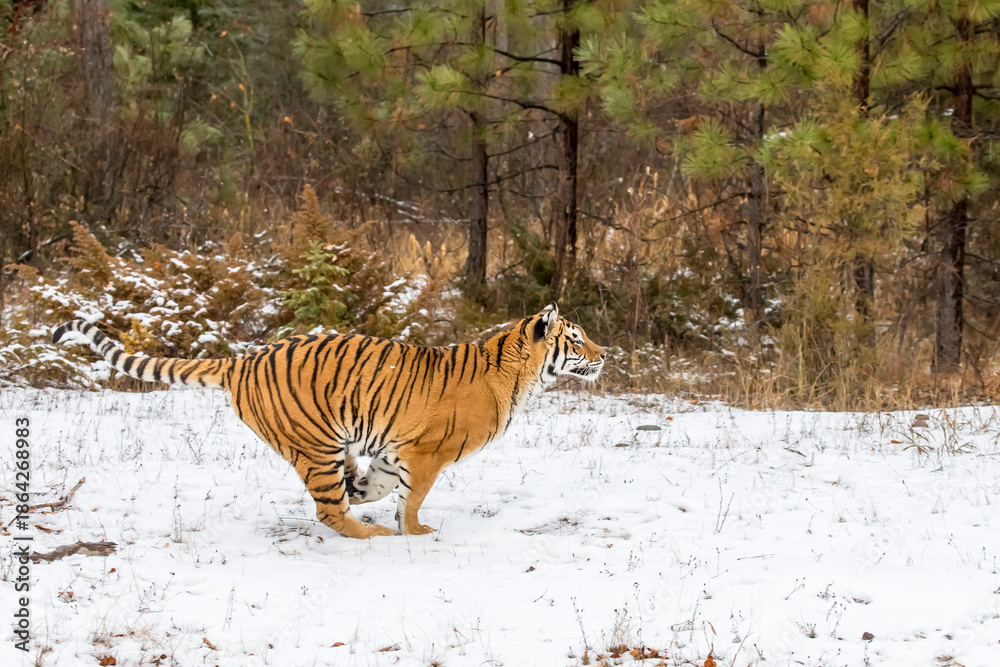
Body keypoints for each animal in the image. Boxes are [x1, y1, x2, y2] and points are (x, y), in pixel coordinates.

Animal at [53, 303, 606, 539]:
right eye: (577, 339)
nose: (607, 354)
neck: (520, 372)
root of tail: (242, 360)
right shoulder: (427, 453)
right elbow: (410, 500)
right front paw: (414, 531)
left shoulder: (392, 450)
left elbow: (382, 487)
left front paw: (363, 491)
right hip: (314, 443)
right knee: (327, 512)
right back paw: (368, 534)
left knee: (331, 500)